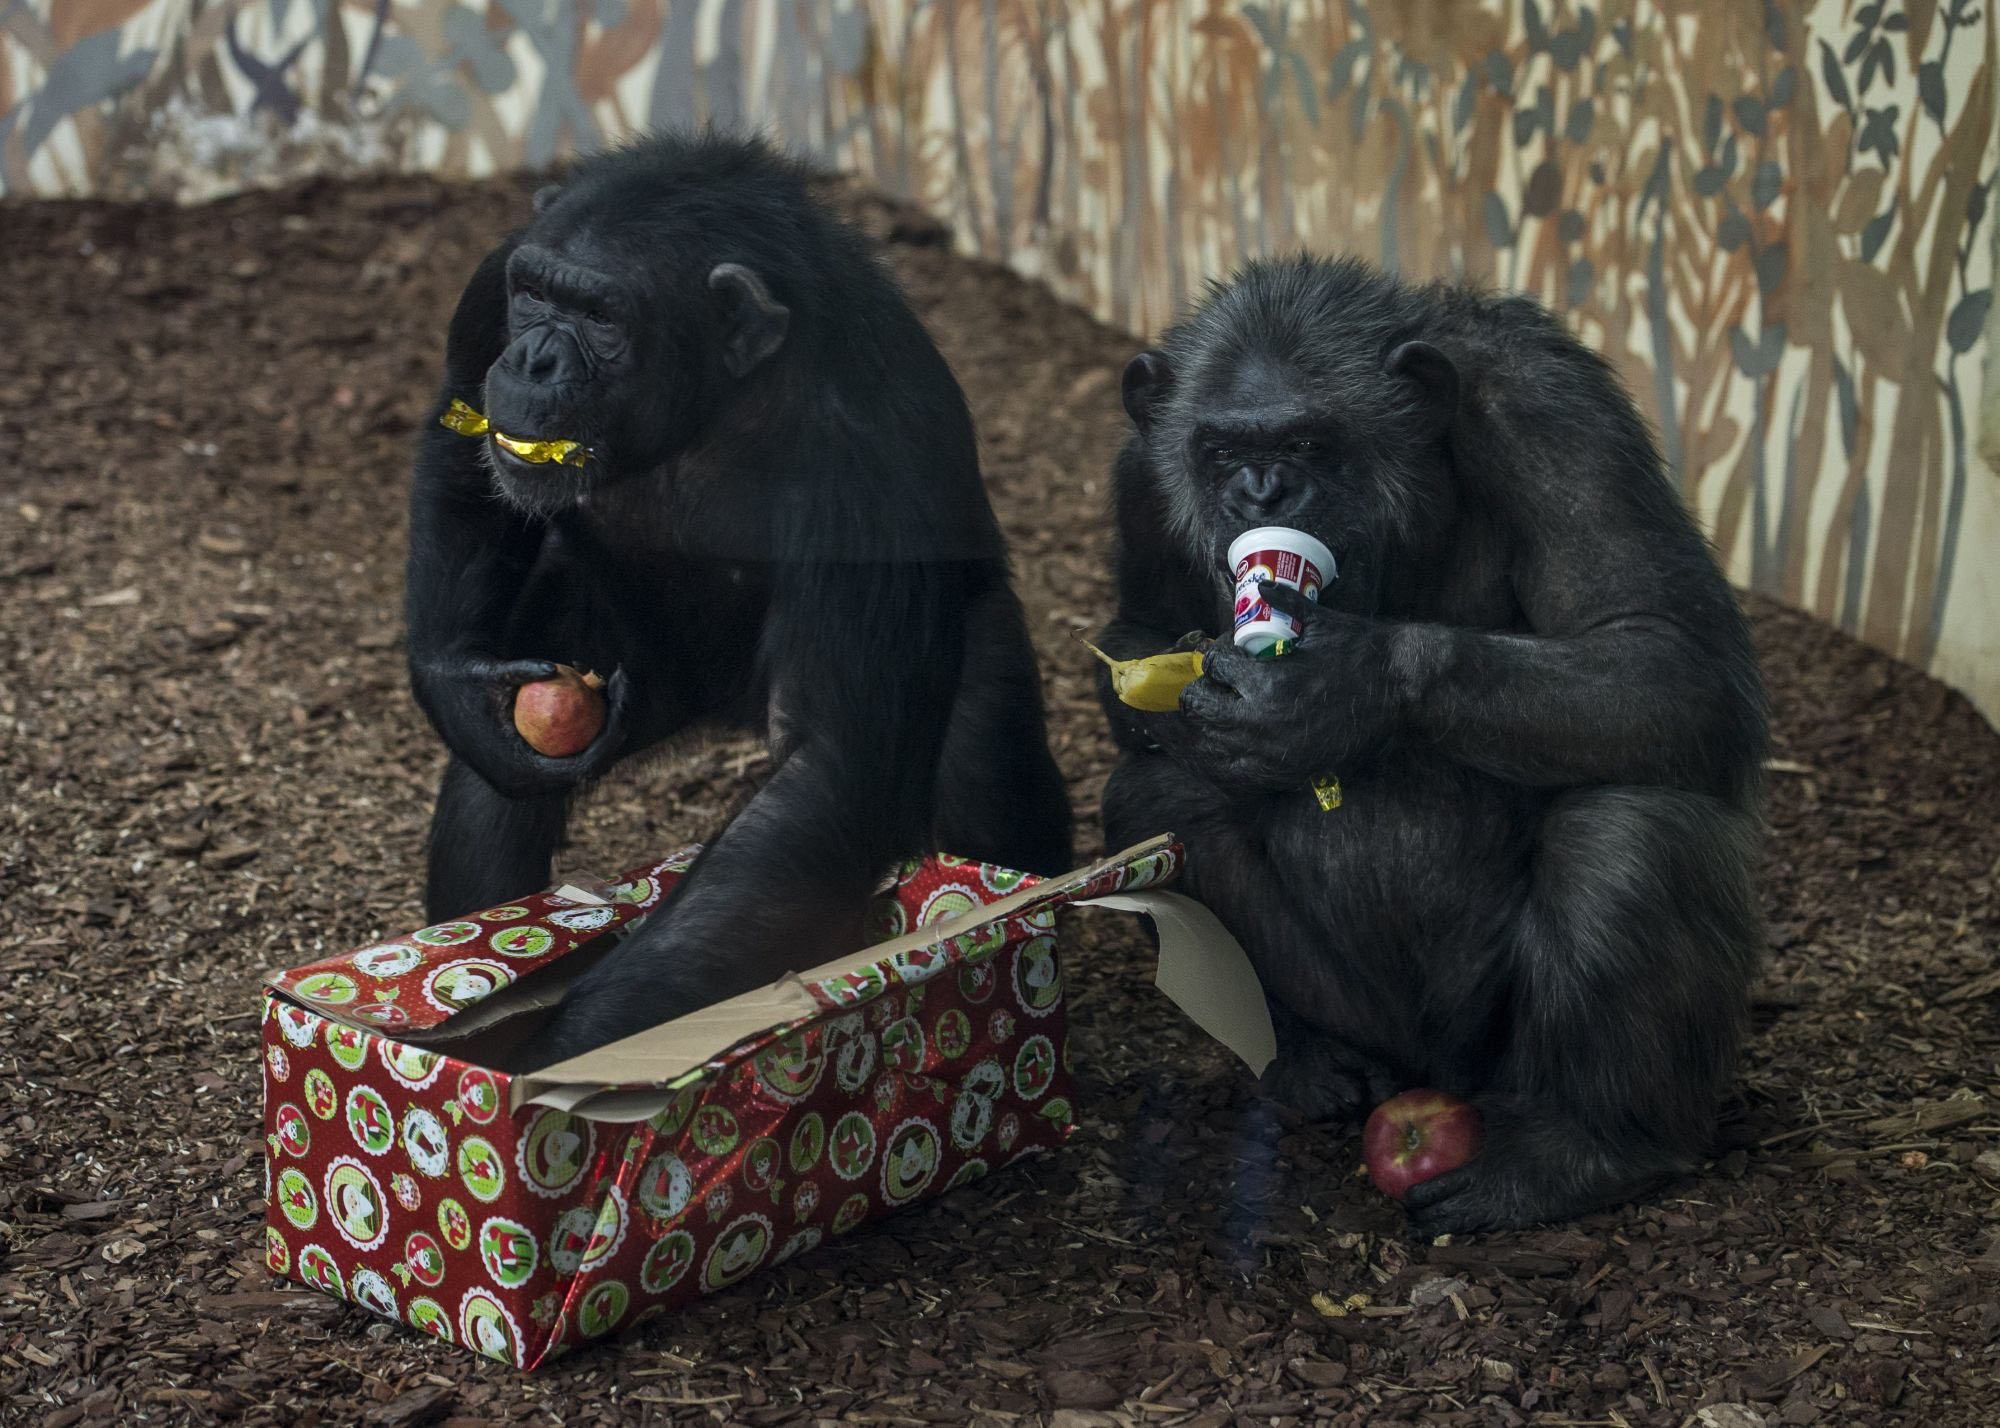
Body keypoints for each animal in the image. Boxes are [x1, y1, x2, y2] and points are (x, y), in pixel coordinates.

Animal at [1096, 258, 1768, 1232]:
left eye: (1309, 445)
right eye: (1220, 451)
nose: (1260, 492)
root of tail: (1430, 1071)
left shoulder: (1556, 417)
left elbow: (1666, 649)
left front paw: (1336, 692)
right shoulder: (1141, 478)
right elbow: (1139, 635)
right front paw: (1203, 706)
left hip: (1493, 1053)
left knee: (1629, 831)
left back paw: (1586, 1149)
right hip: (1359, 1009)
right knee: (1160, 797)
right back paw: (1309, 1058)